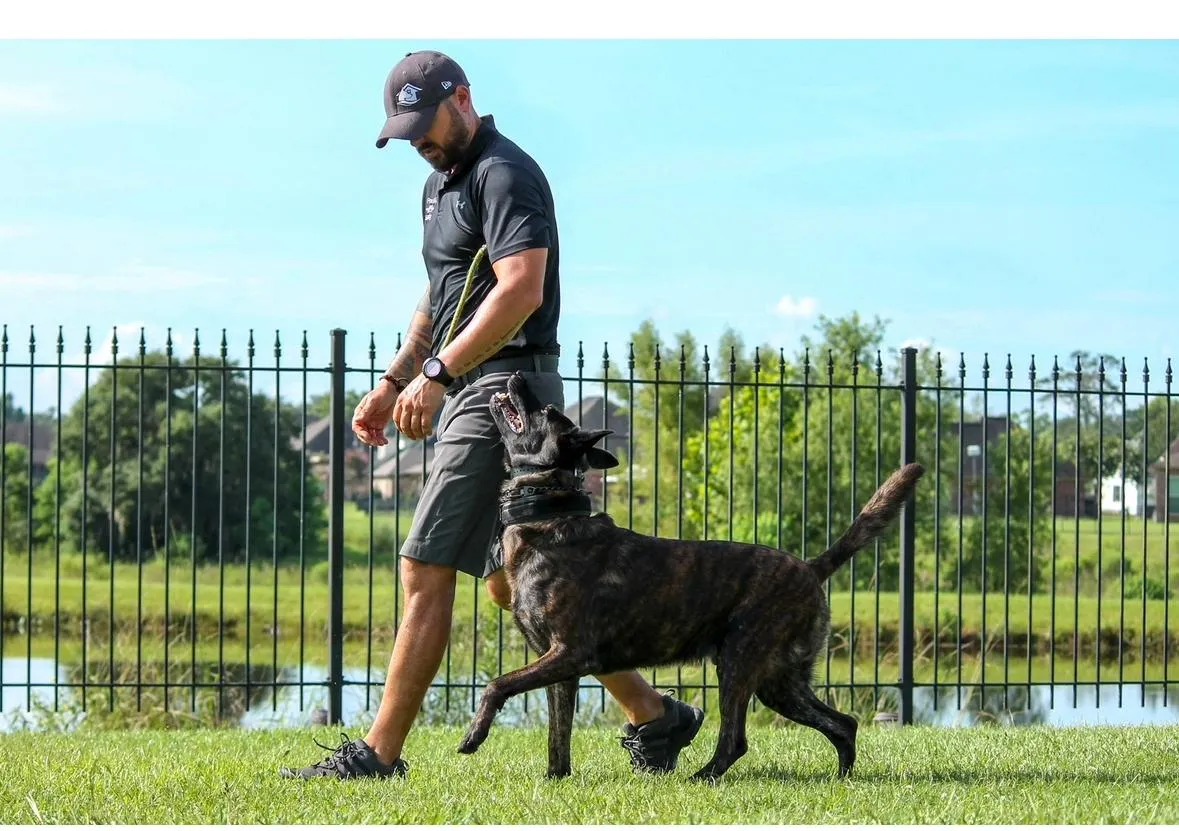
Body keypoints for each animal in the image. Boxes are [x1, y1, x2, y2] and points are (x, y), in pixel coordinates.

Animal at [455, 372, 924, 782]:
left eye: (547, 410)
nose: (517, 376)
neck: (549, 516)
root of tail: (810, 567)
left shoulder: (569, 653)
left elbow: (497, 684)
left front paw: (473, 736)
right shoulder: (559, 667)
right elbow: (559, 736)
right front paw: (555, 779)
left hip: (739, 662)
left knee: (736, 739)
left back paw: (704, 777)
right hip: (781, 682)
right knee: (843, 723)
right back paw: (842, 777)